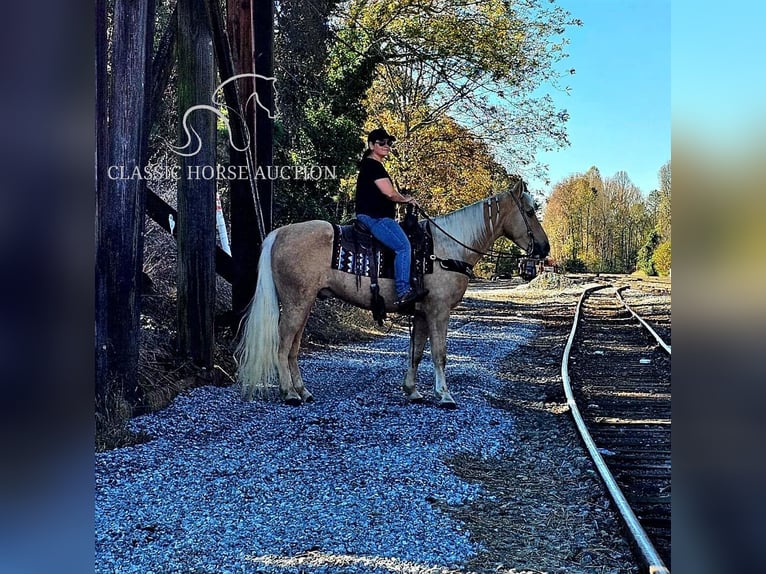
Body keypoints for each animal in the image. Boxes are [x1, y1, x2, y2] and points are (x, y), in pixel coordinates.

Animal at [237, 181, 548, 410]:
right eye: (529, 211)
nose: (544, 248)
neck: (445, 250)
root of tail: (280, 233)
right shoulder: (439, 311)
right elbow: (439, 354)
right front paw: (445, 396)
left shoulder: (422, 312)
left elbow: (416, 353)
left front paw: (413, 391)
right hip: (296, 304)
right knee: (282, 346)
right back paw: (289, 393)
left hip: (303, 304)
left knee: (293, 347)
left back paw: (302, 390)